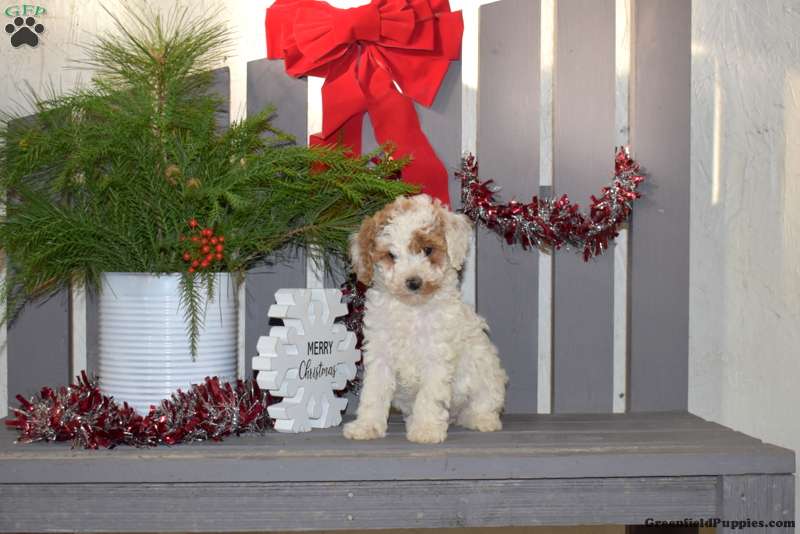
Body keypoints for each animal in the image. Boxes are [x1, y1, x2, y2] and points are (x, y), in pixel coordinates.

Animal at [342, 194, 508, 444]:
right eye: (391, 255)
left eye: (428, 250)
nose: (414, 282)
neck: (412, 309)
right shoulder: (380, 354)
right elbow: (374, 392)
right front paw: (366, 426)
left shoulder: (436, 356)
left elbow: (430, 396)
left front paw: (426, 429)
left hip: (485, 371)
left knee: (485, 402)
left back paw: (481, 419)